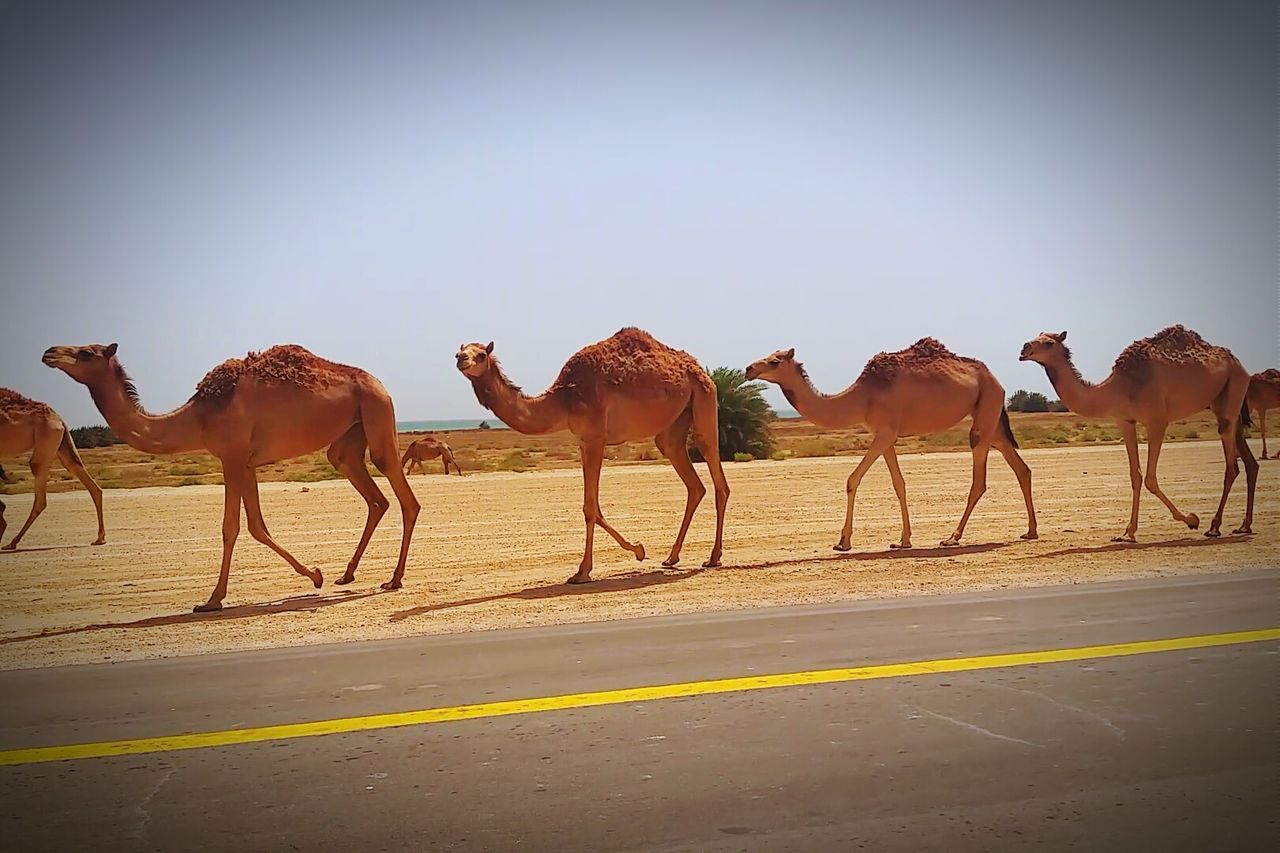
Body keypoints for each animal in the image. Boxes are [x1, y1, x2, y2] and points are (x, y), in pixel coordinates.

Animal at [0, 389, 106, 548]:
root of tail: (59, 419)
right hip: (61, 445)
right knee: (89, 482)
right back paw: (100, 538)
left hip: (46, 439)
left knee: (40, 496)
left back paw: (12, 542)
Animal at [45, 343, 419, 607]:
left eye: (86, 352)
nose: (49, 352)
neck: (199, 415)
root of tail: (381, 385)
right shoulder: (246, 462)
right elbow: (256, 526)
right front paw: (316, 575)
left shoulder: (232, 457)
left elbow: (231, 527)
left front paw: (212, 600)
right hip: (348, 439)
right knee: (373, 495)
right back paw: (347, 575)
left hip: (377, 412)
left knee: (405, 498)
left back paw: (393, 580)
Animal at [458, 325, 732, 578]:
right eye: (461, 350)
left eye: (481, 354)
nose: (460, 358)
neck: (565, 397)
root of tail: (699, 370)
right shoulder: (582, 441)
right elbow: (592, 507)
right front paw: (636, 550)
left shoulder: (595, 438)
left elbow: (590, 508)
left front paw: (585, 570)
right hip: (673, 426)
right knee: (693, 481)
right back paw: (672, 557)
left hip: (704, 398)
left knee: (715, 470)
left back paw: (713, 557)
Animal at [747, 335, 1034, 548]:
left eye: (774, 361)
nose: (749, 368)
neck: (862, 397)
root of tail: (997, 381)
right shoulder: (886, 435)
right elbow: (899, 484)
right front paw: (904, 539)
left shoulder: (885, 432)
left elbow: (852, 479)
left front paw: (843, 541)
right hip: (991, 419)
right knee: (1021, 468)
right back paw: (1030, 531)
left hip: (985, 413)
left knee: (980, 480)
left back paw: (952, 538)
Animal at [1018, 325, 1259, 537]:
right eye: (1035, 336)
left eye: (1048, 343)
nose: (1024, 348)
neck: (1118, 388)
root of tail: (1239, 364)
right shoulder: (1126, 422)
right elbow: (1136, 476)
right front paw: (1127, 532)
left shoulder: (1157, 421)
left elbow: (1150, 478)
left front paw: (1191, 519)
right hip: (1223, 402)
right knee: (1249, 462)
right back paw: (1244, 525)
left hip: (1233, 389)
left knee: (1231, 465)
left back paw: (1215, 527)